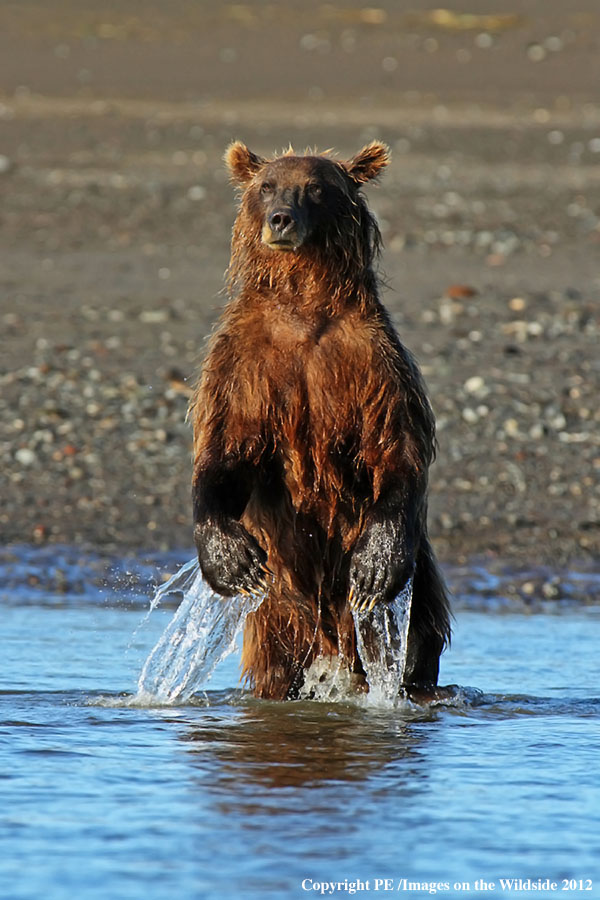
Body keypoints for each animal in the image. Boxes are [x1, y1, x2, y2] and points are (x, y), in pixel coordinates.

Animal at [189, 142, 450, 704]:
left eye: (314, 188)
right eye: (267, 186)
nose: (280, 218)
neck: (303, 304)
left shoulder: (372, 364)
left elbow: (394, 448)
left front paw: (375, 567)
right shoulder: (244, 365)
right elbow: (225, 451)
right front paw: (231, 559)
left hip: (415, 592)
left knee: (416, 643)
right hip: (277, 613)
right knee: (276, 664)